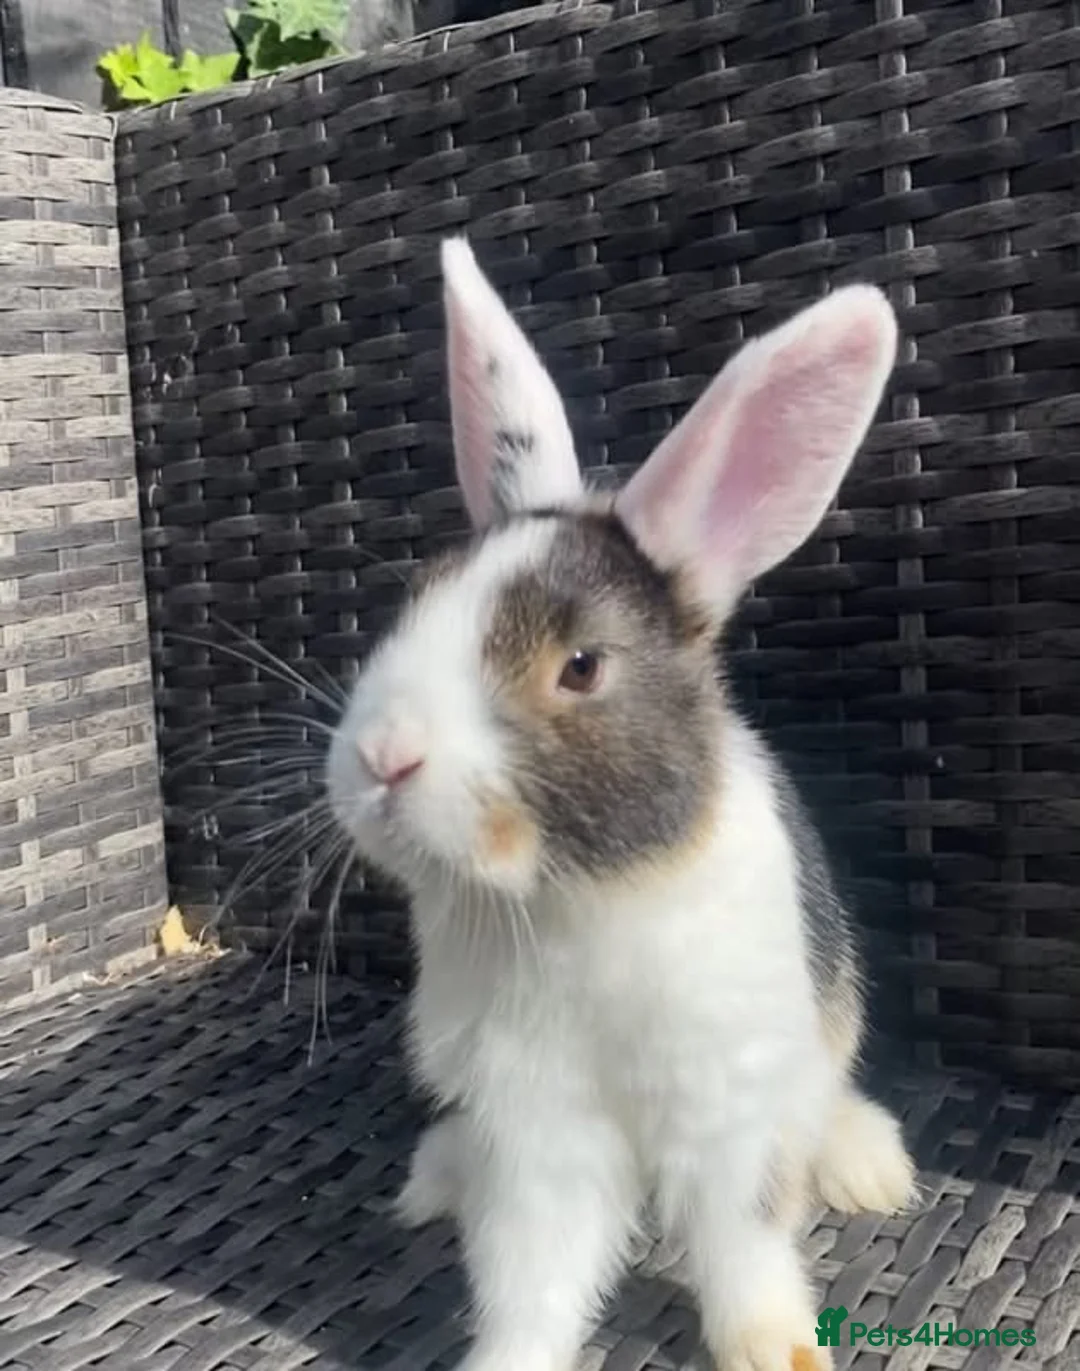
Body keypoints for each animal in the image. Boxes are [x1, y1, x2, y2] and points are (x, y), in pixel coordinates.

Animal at [326, 237, 916, 1371]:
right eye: (410, 605)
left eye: (582, 666)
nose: (383, 757)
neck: (576, 894)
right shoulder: (534, 1130)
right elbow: (533, 1274)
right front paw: (504, 1362)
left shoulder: (729, 1112)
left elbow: (745, 1246)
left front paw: (778, 1351)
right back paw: (435, 1178)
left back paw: (869, 1166)